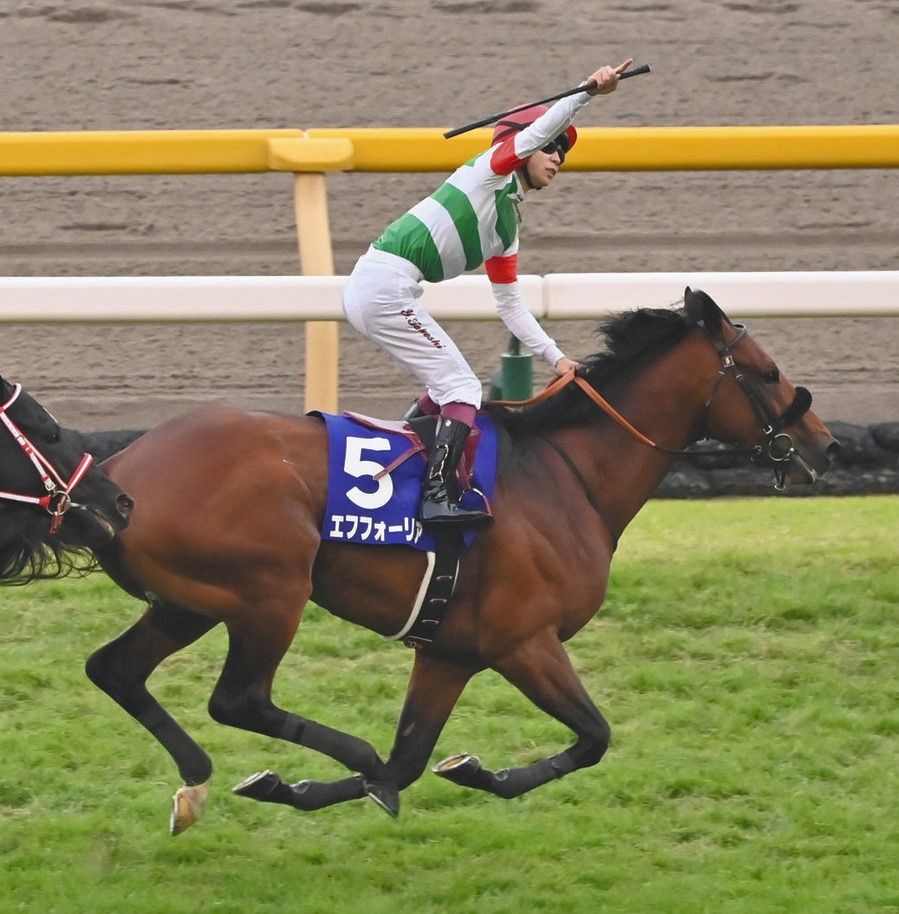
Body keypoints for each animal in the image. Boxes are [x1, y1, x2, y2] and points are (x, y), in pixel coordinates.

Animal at [0, 288, 840, 832]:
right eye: (766, 372)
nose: (826, 446)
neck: (565, 476)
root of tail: (114, 477)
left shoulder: (449, 650)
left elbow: (412, 761)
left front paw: (376, 781)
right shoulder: (523, 642)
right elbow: (592, 737)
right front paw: (447, 771)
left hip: (188, 600)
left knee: (115, 669)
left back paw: (196, 786)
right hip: (269, 590)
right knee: (239, 699)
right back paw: (331, 753)